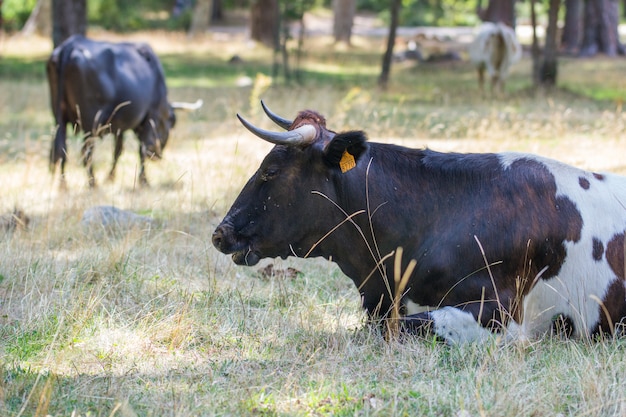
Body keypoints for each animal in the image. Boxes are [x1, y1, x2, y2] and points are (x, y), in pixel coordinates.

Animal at [47, 35, 201, 188]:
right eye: (171, 124)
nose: (156, 155)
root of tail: (71, 45)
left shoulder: (119, 125)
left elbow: (118, 150)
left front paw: (111, 177)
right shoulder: (149, 117)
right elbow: (141, 150)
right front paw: (143, 180)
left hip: (59, 117)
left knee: (61, 149)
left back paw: (63, 184)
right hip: (91, 123)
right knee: (85, 152)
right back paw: (92, 183)